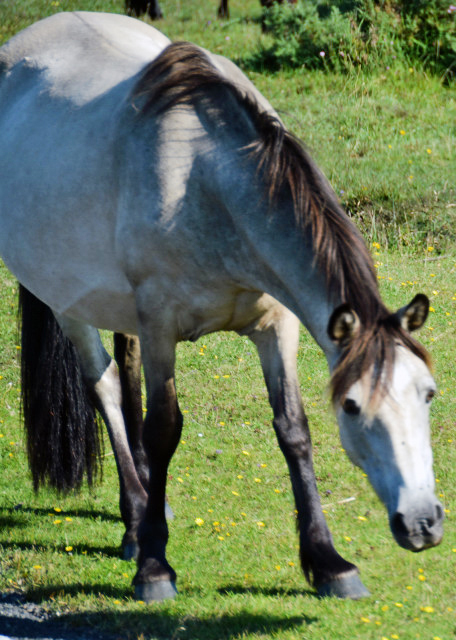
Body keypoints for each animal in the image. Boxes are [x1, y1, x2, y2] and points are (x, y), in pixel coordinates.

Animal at [0, 11, 443, 602]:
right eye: (352, 407)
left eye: (428, 394)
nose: (422, 523)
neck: (203, 182)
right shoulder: (160, 323)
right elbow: (164, 427)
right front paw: (155, 568)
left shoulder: (277, 325)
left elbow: (293, 429)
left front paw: (328, 563)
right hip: (67, 302)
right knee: (107, 389)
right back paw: (137, 519)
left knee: (127, 378)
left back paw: (144, 510)